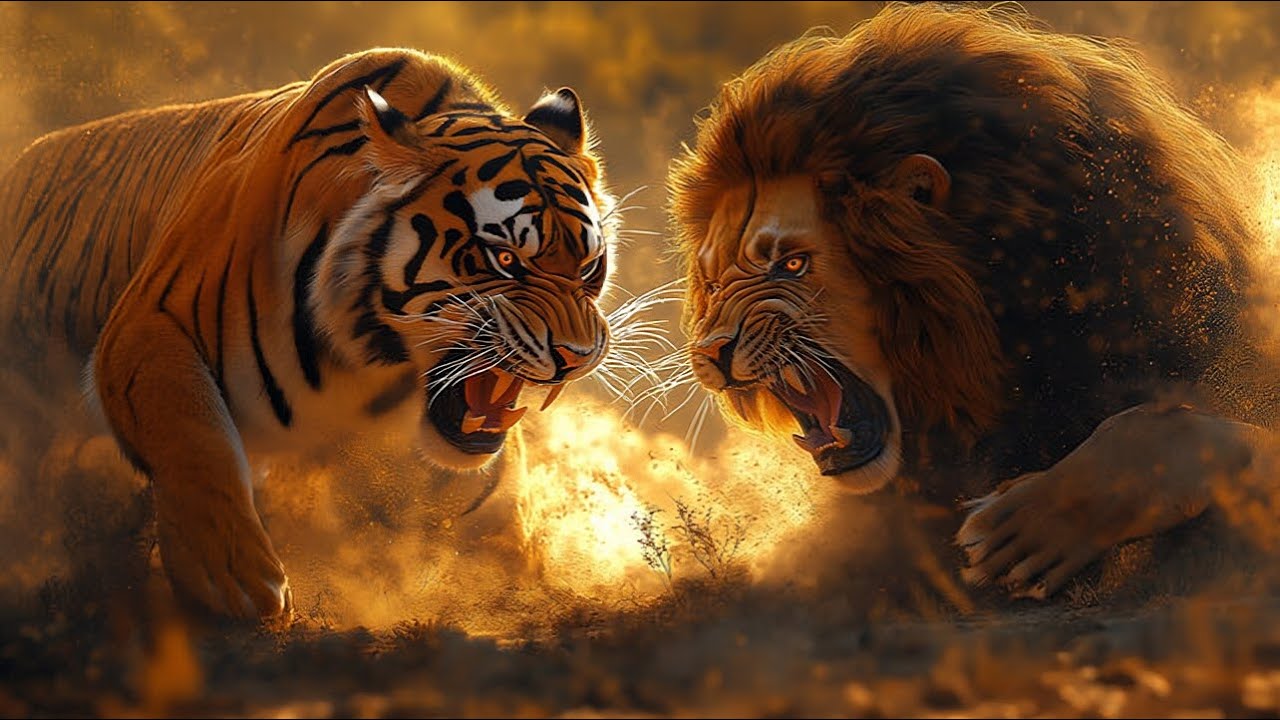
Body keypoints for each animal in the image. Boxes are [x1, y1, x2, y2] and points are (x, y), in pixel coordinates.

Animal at [0, 48, 616, 620]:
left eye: (590, 266)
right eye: (506, 259)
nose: (576, 355)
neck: (371, 359)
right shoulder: (145, 322)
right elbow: (195, 438)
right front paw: (234, 582)